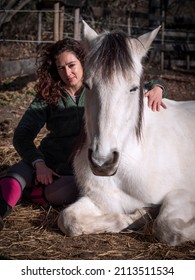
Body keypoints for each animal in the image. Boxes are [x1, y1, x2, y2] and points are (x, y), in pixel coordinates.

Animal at [57, 21, 195, 245]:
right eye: (87, 85)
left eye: (133, 88)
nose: (103, 162)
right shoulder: (100, 201)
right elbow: (68, 219)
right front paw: (139, 215)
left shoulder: (184, 194)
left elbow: (167, 227)